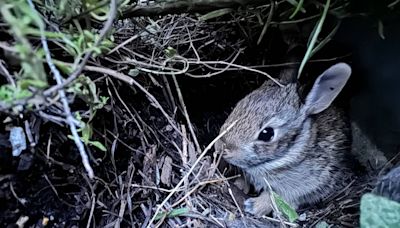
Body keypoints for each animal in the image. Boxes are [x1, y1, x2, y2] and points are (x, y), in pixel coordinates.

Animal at [217, 63, 352, 216]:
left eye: (267, 134)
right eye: (238, 105)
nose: (220, 147)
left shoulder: (303, 187)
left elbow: (275, 198)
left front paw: (254, 206)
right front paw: (238, 185)